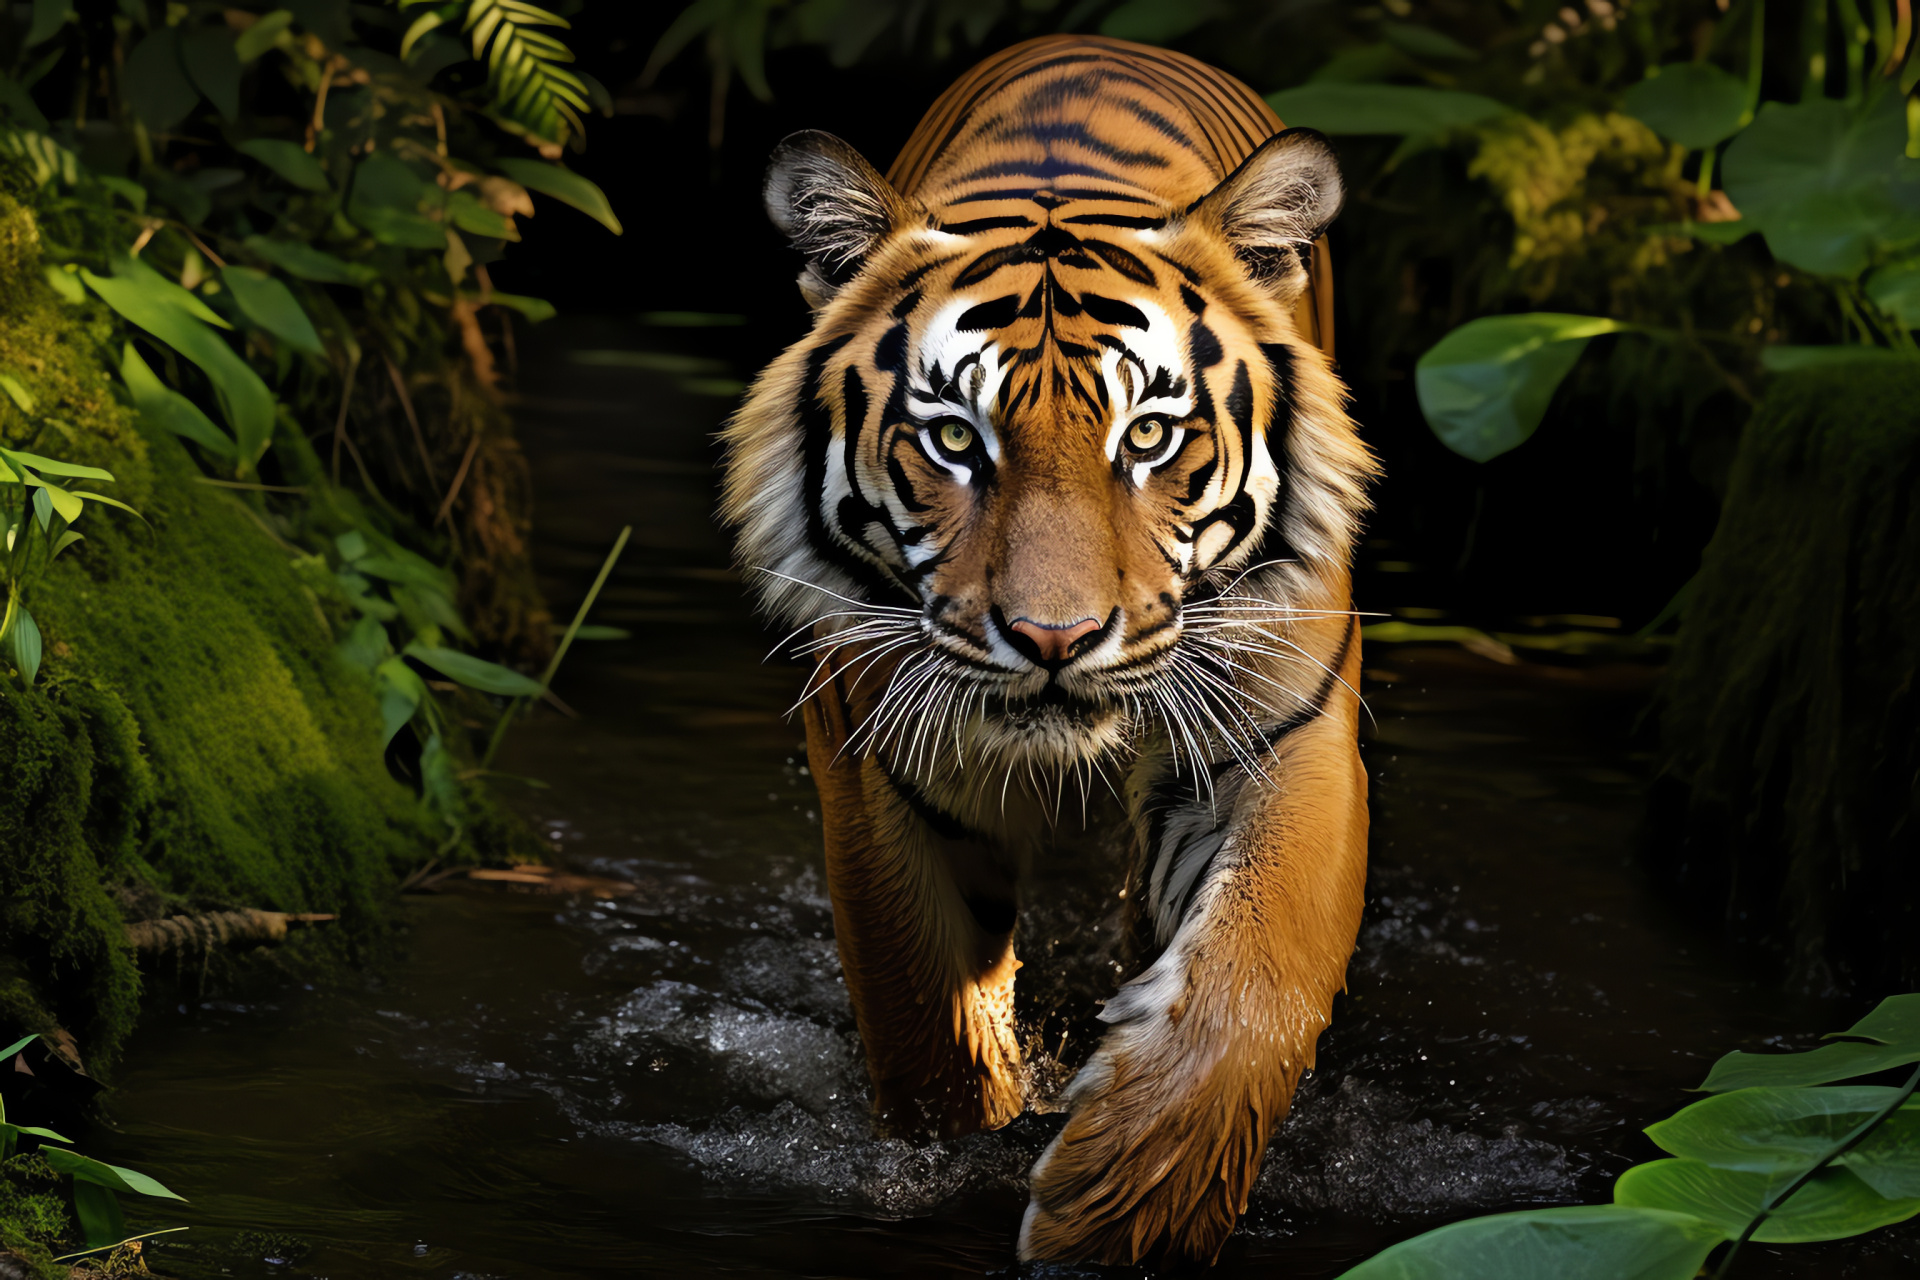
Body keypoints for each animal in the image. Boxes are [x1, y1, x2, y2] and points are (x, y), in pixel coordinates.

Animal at [721, 32, 1382, 1274]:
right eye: (952, 438)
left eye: (1152, 436)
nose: (1054, 638)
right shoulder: (884, 767)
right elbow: (925, 1016)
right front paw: (953, 1165)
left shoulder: (1286, 737)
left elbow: (1257, 975)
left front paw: (1127, 1199)